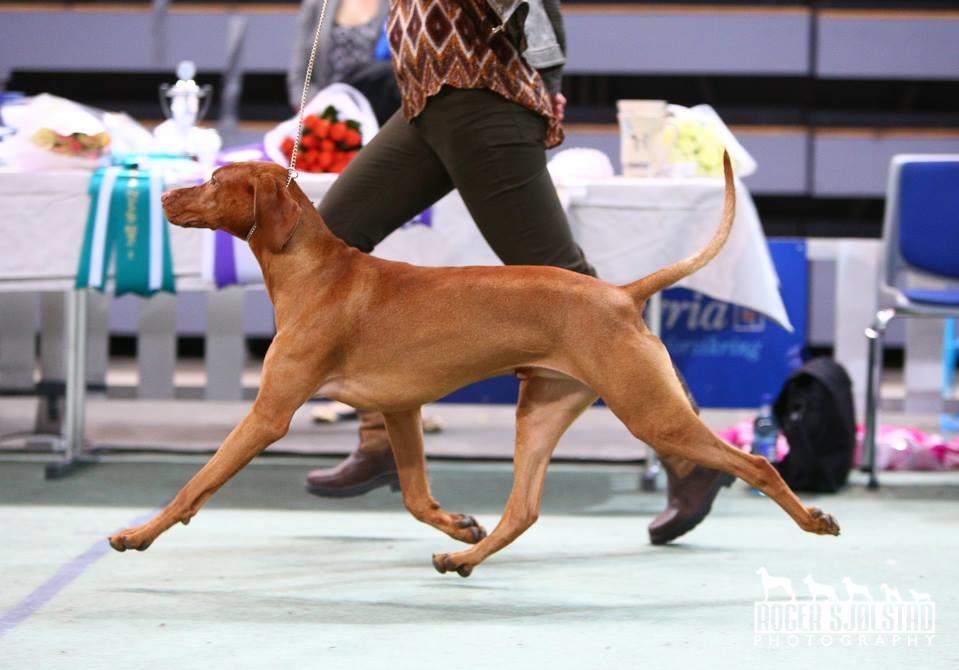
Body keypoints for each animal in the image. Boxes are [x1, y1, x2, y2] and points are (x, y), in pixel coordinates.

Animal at [107, 154, 840, 576]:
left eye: (213, 181)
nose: (161, 197)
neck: (316, 272)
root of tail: (620, 292)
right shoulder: (400, 407)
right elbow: (412, 495)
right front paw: (457, 522)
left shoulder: (268, 413)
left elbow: (195, 484)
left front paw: (138, 533)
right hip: (541, 411)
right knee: (524, 510)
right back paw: (464, 555)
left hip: (648, 410)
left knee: (755, 462)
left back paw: (812, 520)